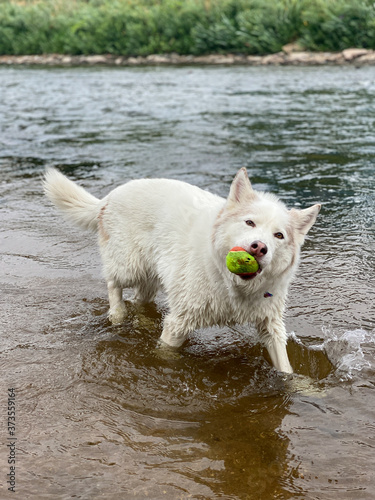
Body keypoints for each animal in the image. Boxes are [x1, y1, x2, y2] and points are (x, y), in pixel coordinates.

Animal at [44, 168, 320, 372]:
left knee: (141, 299)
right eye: (249, 222)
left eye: (279, 235)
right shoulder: (180, 322)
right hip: (129, 265)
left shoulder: (270, 325)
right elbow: (166, 352)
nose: (259, 247)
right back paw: (118, 314)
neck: (232, 285)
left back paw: (142, 321)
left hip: (152, 277)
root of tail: (110, 197)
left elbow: (285, 366)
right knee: (113, 284)